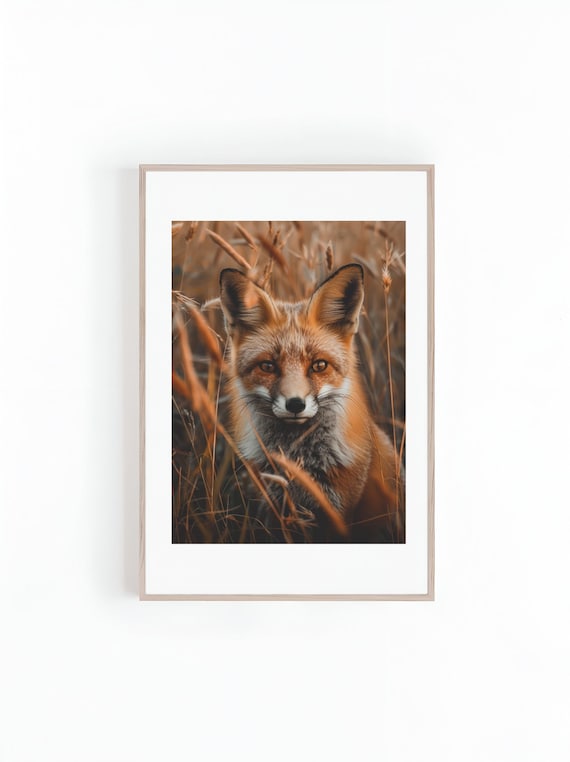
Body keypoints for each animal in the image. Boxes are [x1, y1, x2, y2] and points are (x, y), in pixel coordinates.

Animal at [219, 263, 404, 543]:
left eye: (319, 365)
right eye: (268, 366)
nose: (295, 404)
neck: (301, 460)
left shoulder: (339, 513)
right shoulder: (276, 507)